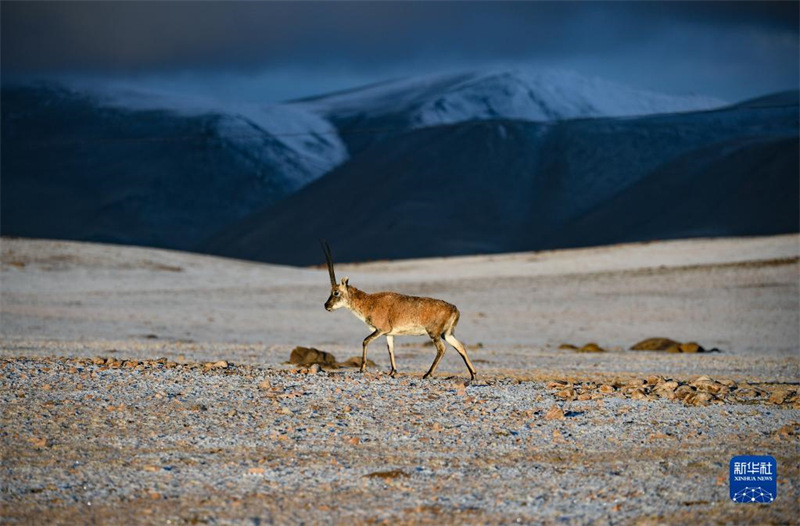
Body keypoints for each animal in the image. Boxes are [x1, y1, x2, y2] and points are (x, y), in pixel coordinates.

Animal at [322, 241, 478, 382]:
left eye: (336, 292)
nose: (326, 305)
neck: (369, 302)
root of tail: (454, 308)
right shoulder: (389, 334)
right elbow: (391, 349)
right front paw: (393, 372)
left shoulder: (380, 330)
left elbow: (365, 341)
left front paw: (362, 368)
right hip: (447, 334)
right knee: (460, 347)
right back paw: (473, 375)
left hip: (434, 333)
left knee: (442, 349)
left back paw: (427, 374)